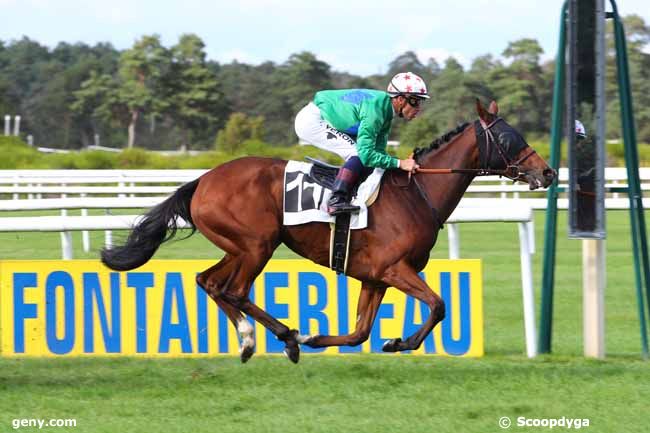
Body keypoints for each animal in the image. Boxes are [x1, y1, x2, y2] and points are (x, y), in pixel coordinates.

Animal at [101, 98, 552, 362]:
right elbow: (439, 305)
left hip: (238, 246)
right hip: (258, 245)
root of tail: (203, 180)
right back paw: (286, 337)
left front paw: (345, 340)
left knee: (208, 281)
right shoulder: (395, 269)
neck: (416, 192)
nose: (547, 172)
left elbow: (359, 332)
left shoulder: (375, 277)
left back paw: (250, 340)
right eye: (509, 137)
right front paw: (401, 342)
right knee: (234, 290)